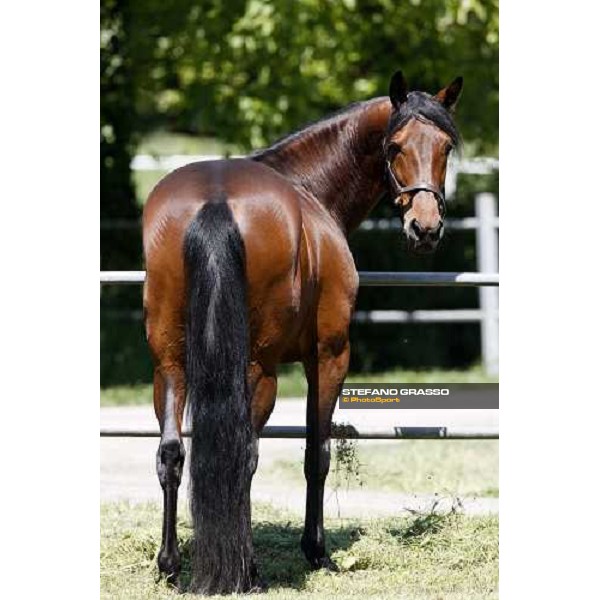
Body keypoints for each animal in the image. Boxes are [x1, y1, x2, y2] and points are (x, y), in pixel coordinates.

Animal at [143, 71, 462, 596]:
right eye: (394, 146)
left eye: (446, 146)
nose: (425, 227)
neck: (309, 188)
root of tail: (215, 200)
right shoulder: (330, 356)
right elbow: (318, 453)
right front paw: (316, 550)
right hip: (260, 371)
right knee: (243, 454)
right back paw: (246, 570)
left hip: (169, 362)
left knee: (172, 453)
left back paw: (169, 563)